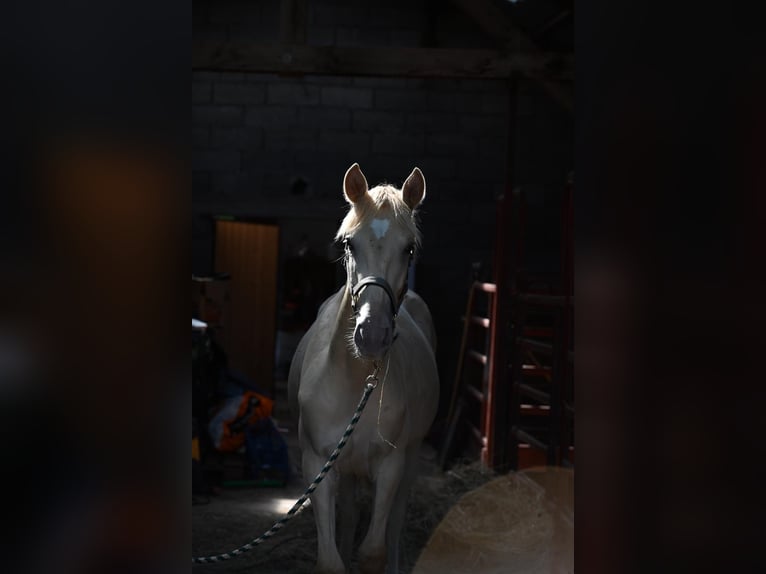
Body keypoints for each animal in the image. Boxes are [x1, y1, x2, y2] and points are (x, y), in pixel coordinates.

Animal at [290, 164, 444, 572]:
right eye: (348, 244)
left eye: (409, 248)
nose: (371, 335)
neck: (355, 381)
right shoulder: (318, 466)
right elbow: (332, 559)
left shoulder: (391, 466)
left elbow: (374, 550)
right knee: (348, 519)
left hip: (409, 461)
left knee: (395, 524)